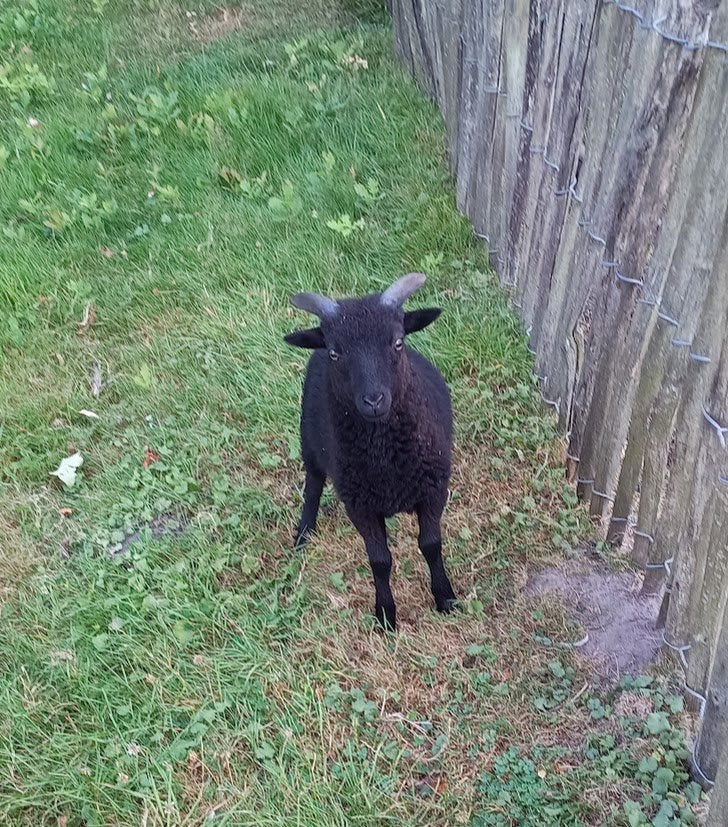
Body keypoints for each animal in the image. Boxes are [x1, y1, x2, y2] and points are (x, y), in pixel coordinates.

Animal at [283, 272, 457, 630]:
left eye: (398, 342)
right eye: (336, 353)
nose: (374, 400)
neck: (387, 459)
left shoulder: (433, 490)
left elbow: (431, 545)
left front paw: (445, 597)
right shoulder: (361, 506)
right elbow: (379, 560)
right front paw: (386, 614)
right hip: (309, 443)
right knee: (312, 487)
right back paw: (303, 534)